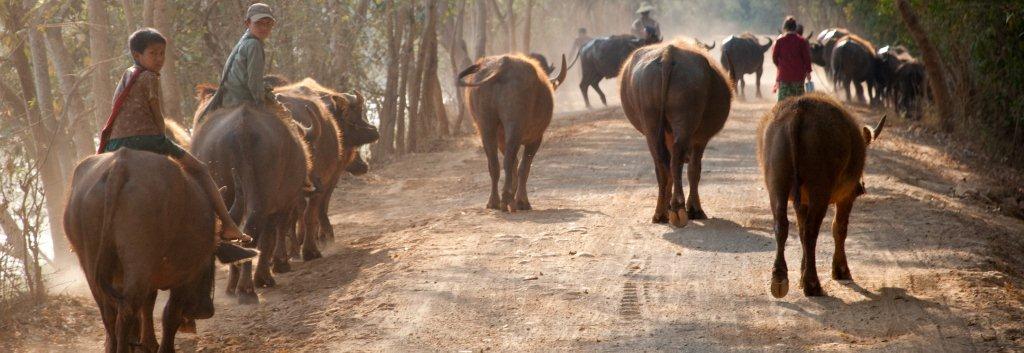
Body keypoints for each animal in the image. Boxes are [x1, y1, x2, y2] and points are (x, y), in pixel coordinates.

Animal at [65, 149, 217, 351]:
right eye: (212, 260)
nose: (206, 310)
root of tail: (121, 165)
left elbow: (148, 306)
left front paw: (147, 343)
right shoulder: (186, 276)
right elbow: (170, 315)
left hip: (90, 261)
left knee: (109, 313)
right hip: (139, 260)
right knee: (127, 310)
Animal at [189, 91, 307, 302]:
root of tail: (242, 128)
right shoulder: (284, 203)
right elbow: (272, 235)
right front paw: (273, 270)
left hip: (223, 186)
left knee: (234, 229)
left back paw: (233, 286)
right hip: (264, 194)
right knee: (253, 229)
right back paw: (246, 289)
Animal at [462, 53, 573, 210]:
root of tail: (502, 66)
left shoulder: (502, 141)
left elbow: (515, 165)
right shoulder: (536, 139)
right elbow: (523, 167)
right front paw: (522, 201)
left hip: (486, 126)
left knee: (494, 164)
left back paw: (494, 201)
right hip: (514, 126)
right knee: (509, 162)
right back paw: (507, 199)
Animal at [618, 41, 733, 227]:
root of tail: (667, 55)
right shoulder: (700, 140)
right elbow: (694, 170)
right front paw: (695, 209)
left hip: (650, 123)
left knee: (662, 165)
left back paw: (661, 212)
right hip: (685, 120)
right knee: (678, 160)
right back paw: (678, 207)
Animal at [757, 93, 884, 296]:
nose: (861, 187)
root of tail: (799, 110)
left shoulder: (802, 202)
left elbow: (800, 231)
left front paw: (801, 275)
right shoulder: (846, 197)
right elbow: (839, 229)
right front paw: (840, 271)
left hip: (776, 182)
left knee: (782, 225)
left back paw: (779, 279)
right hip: (820, 190)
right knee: (811, 231)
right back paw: (812, 284)